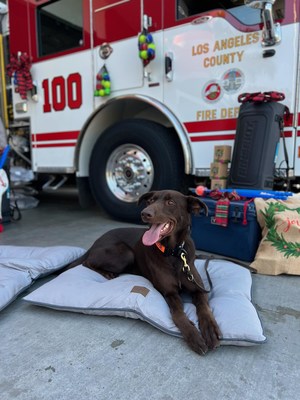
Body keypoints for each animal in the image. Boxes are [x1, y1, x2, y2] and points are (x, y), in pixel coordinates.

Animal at [68, 191, 220, 356]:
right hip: (126, 254)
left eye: (171, 202)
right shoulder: (169, 293)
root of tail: (95, 242)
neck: (174, 253)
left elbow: (204, 308)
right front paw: (193, 335)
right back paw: (107, 273)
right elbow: (178, 314)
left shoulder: (198, 289)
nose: (145, 213)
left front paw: (210, 329)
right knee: (87, 262)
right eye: (151, 201)